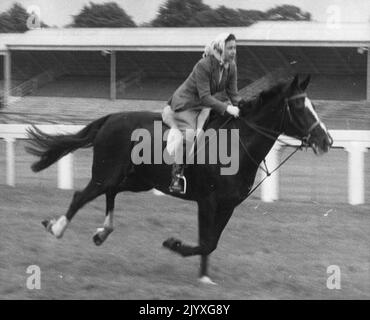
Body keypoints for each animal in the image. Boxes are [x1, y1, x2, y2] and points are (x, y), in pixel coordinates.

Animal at [26, 75, 332, 284]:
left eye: (314, 105)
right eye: (300, 107)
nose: (326, 140)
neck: (236, 144)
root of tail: (110, 117)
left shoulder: (228, 205)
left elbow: (212, 241)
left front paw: (204, 276)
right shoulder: (207, 200)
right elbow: (206, 241)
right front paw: (173, 244)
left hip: (135, 180)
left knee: (111, 193)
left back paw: (103, 231)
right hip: (105, 173)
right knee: (81, 196)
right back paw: (56, 228)